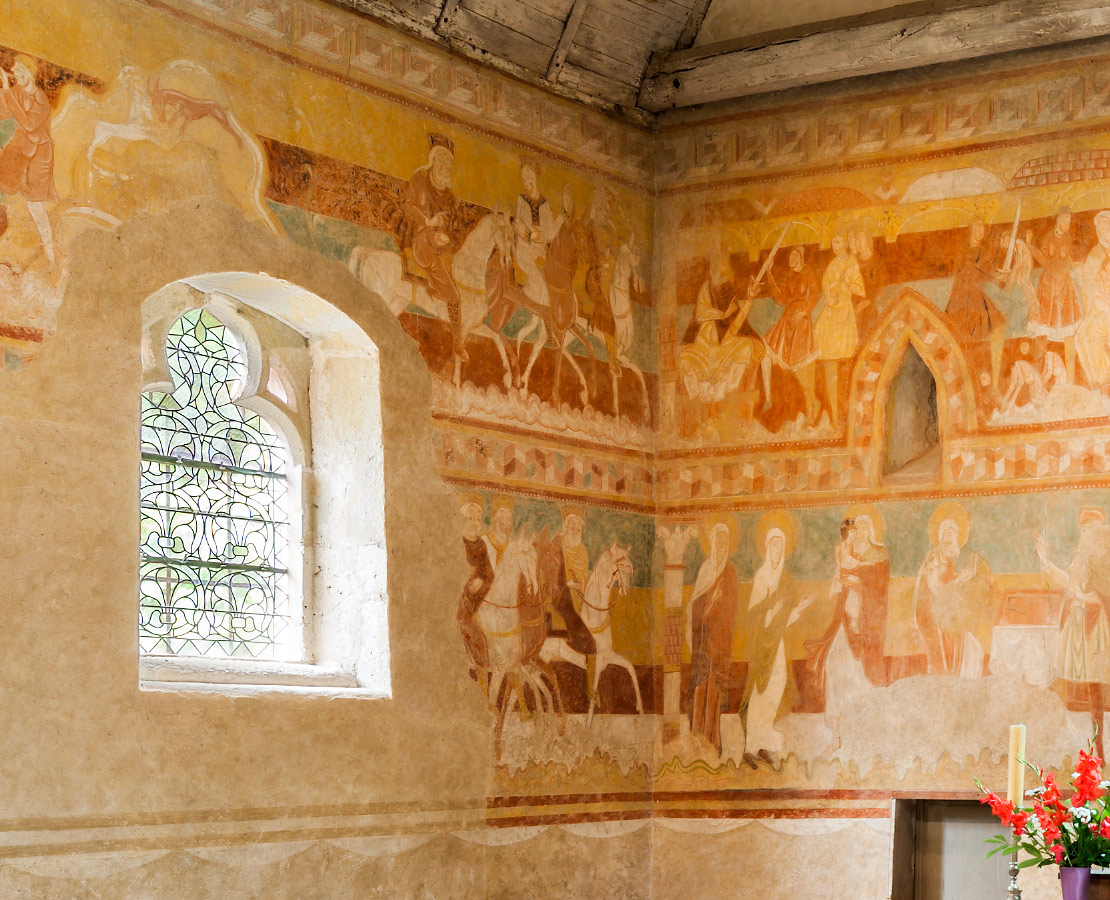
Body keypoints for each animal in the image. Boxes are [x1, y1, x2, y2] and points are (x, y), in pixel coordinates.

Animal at [539, 541, 643, 723]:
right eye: (621, 565)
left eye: (629, 565)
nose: (625, 590)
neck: (594, 618)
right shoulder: (597, 663)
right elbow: (592, 701)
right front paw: (587, 727)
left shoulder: (608, 657)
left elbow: (631, 668)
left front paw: (641, 709)